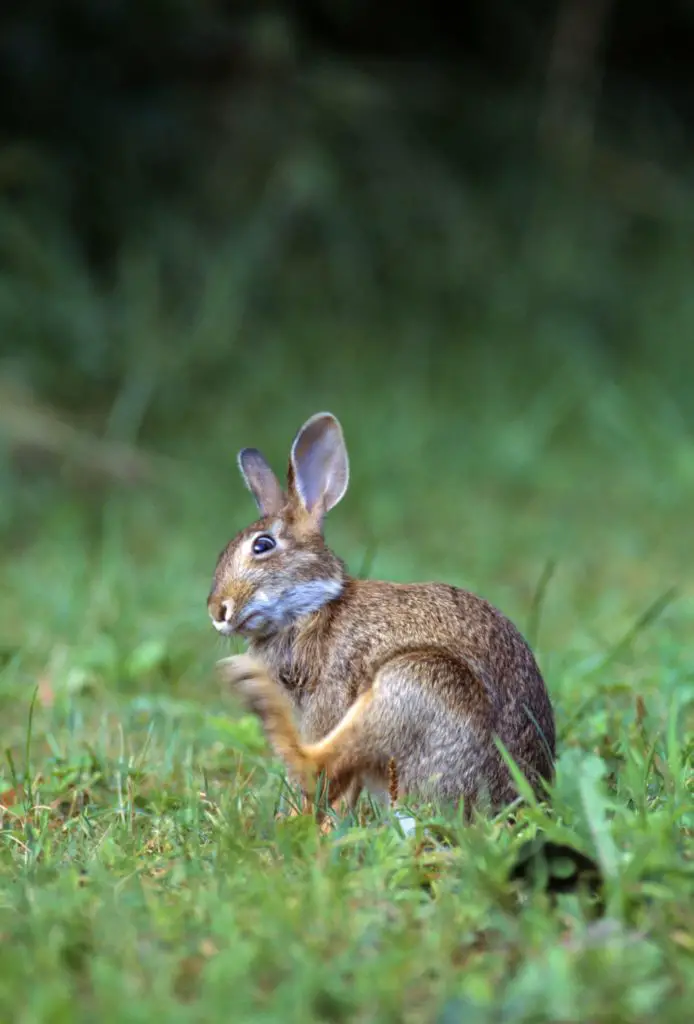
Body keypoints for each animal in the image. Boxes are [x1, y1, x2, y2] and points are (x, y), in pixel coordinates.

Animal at [209, 407, 556, 815]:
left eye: (262, 545)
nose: (217, 611)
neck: (312, 608)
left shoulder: (332, 694)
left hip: (417, 683)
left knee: (315, 765)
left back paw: (252, 690)